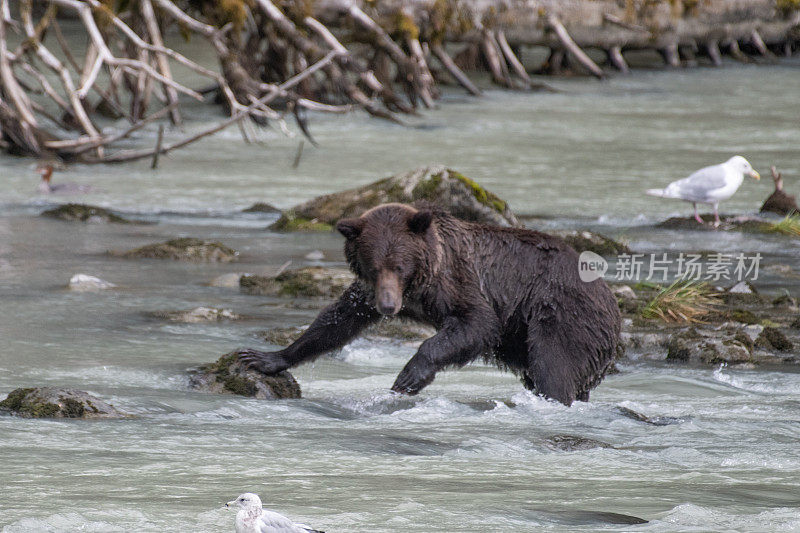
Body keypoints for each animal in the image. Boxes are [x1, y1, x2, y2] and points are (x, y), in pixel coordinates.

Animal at [234, 202, 620, 406]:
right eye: (374, 266)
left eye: (399, 265)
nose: (389, 307)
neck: (419, 285)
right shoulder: (367, 295)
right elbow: (336, 321)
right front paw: (264, 357)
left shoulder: (460, 282)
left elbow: (476, 323)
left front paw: (409, 376)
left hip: (560, 315)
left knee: (554, 368)